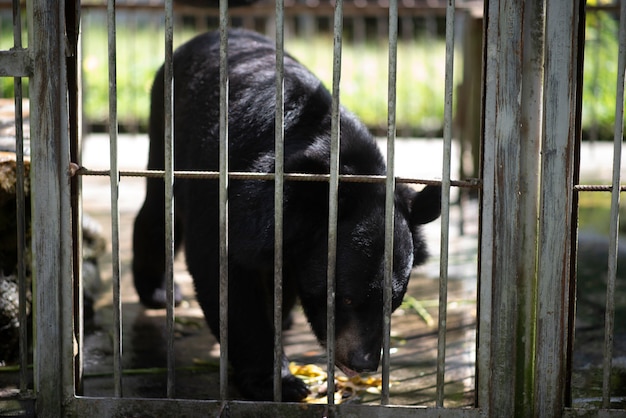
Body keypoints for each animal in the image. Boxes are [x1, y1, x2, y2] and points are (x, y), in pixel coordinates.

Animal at [133, 29, 438, 402]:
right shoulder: (231, 190)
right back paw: (158, 292)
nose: (363, 362)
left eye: (394, 302)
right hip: (166, 129)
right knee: (158, 213)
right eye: (346, 297)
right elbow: (226, 276)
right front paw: (279, 382)